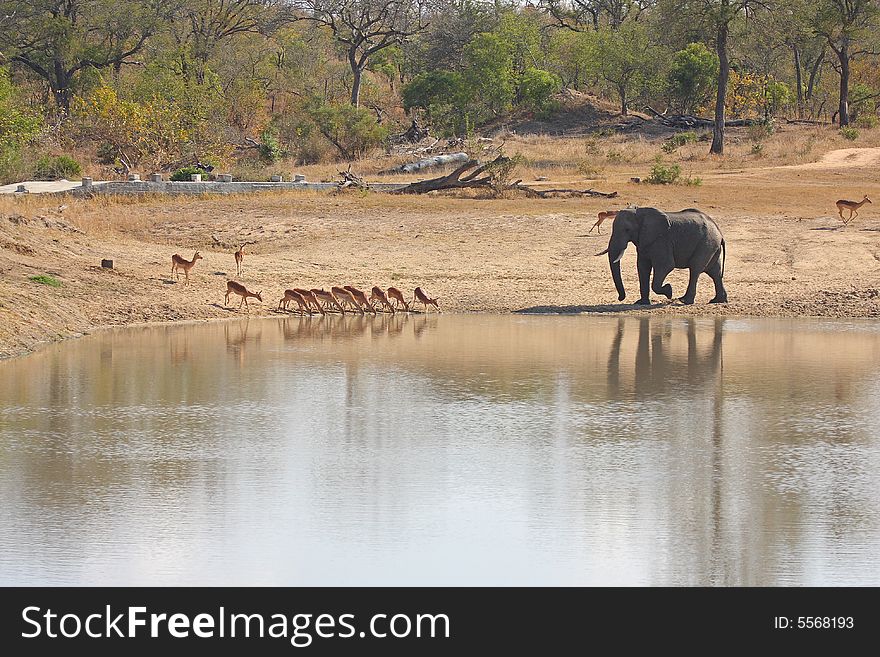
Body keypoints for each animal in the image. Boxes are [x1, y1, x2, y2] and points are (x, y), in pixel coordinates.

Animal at [600, 206, 728, 306]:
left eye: (627, 230)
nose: (620, 298)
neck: (639, 213)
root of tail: (720, 233)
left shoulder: (661, 240)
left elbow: (666, 266)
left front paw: (669, 291)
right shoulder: (644, 241)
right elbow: (642, 267)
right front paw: (641, 303)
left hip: (706, 243)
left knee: (695, 269)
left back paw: (684, 301)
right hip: (712, 246)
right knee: (715, 272)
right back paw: (717, 301)